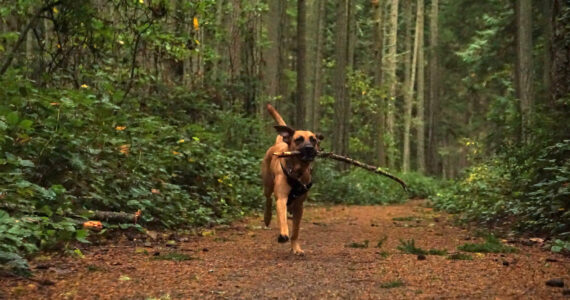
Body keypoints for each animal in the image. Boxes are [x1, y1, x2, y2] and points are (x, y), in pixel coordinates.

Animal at [260, 103, 322, 255]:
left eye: (313, 140)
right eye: (298, 139)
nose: (309, 148)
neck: (297, 171)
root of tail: (279, 142)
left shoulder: (299, 206)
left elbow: (296, 231)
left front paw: (296, 247)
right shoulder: (282, 197)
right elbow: (283, 219)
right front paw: (283, 234)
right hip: (267, 184)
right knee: (268, 199)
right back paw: (267, 217)